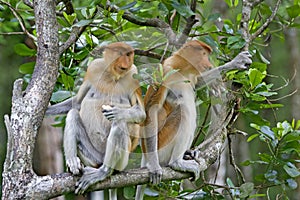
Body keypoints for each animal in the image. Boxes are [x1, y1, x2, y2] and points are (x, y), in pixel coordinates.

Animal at [46, 41, 146, 197]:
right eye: (121, 54)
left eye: (129, 55)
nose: (126, 63)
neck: (112, 75)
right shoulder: (94, 68)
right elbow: (77, 103)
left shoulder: (133, 74)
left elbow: (141, 114)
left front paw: (116, 111)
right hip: (92, 156)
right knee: (73, 114)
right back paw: (74, 163)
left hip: (122, 161)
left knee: (119, 123)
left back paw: (104, 171)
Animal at [135, 40, 251, 198]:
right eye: (204, 54)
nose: (208, 63)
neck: (182, 68)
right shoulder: (165, 71)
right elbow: (151, 110)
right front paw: (154, 168)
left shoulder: (192, 74)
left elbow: (199, 82)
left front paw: (237, 62)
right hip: (163, 144)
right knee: (184, 112)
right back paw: (176, 162)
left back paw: (188, 153)